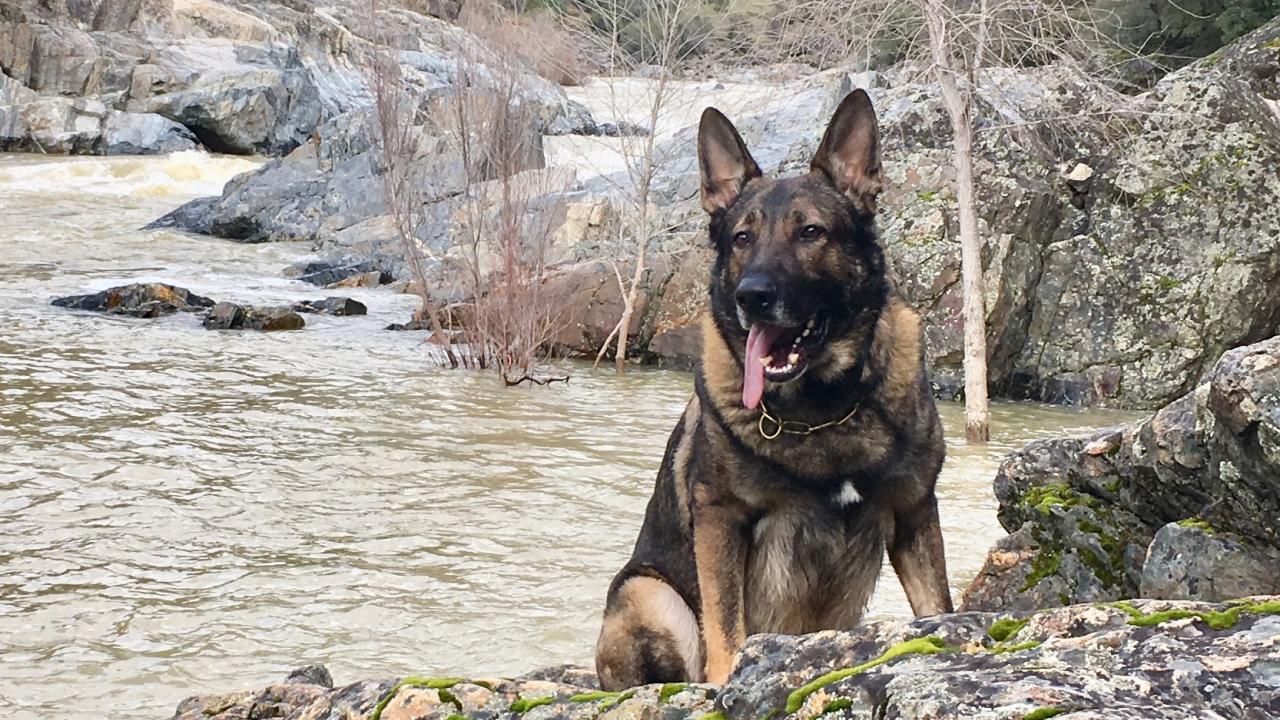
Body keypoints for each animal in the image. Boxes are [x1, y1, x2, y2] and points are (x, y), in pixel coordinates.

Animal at [591, 90, 952, 691]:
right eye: (742, 238)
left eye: (811, 233)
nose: (752, 296)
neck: (825, 408)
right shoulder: (721, 519)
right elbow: (726, 629)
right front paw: (729, 680)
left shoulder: (913, 512)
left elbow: (939, 608)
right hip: (650, 593)